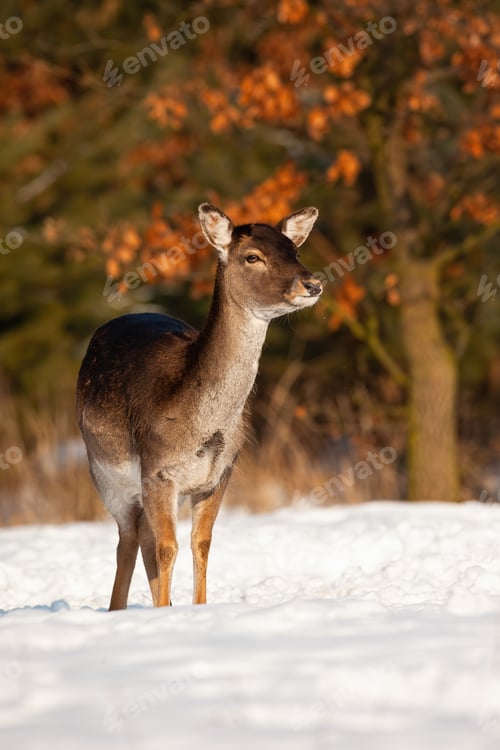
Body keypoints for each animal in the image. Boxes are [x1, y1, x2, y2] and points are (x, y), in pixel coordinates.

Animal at [76, 203, 322, 610]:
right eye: (252, 256)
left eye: (295, 251)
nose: (313, 283)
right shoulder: (157, 470)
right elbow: (167, 547)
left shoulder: (220, 472)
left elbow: (199, 543)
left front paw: (196, 609)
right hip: (104, 473)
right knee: (128, 540)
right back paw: (118, 610)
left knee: (142, 539)